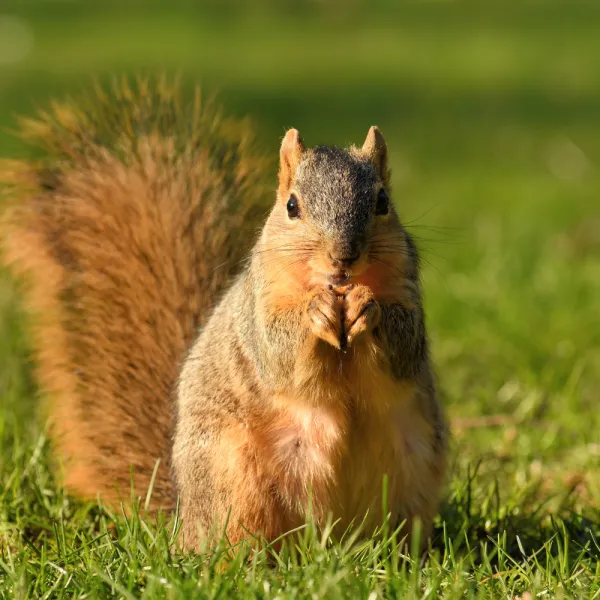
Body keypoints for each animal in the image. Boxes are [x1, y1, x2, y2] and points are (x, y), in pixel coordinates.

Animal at [1, 79, 446, 552]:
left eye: (382, 201)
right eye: (292, 206)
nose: (343, 257)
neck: (334, 288)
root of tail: (185, 523)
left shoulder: (406, 289)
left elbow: (405, 347)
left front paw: (368, 308)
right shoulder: (259, 307)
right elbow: (278, 351)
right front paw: (314, 312)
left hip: (411, 473)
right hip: (232, 479)